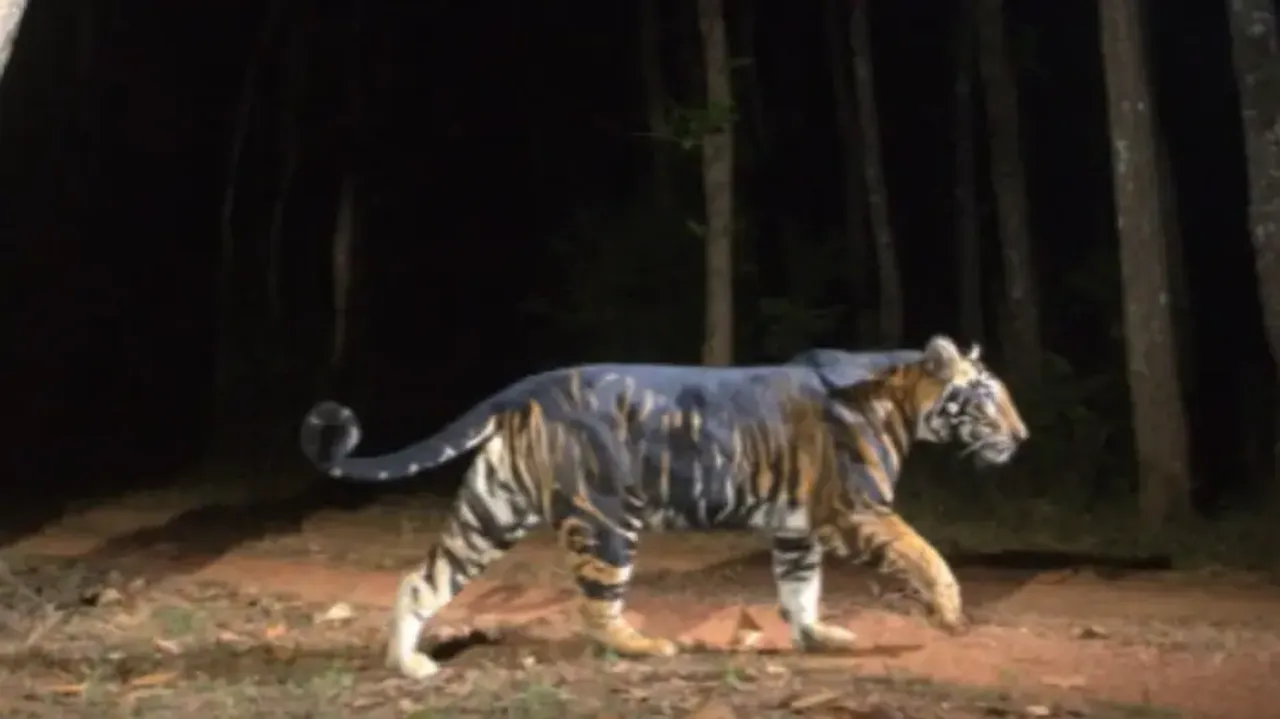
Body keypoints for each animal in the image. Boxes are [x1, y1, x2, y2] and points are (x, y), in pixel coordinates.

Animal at [299, 335, 1028, 680]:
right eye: (988, 395)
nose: (1022, 436)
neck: (903, 397)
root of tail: (528, 385)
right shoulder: (858, 509)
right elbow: (927, 555)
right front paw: (950, 613)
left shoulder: (796, 527)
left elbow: (801, 590)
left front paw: (818, 636)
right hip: (606, 520)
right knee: (596, 607)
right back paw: (647, 644)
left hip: (492, 508)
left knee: (422, 578)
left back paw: (410, 664)